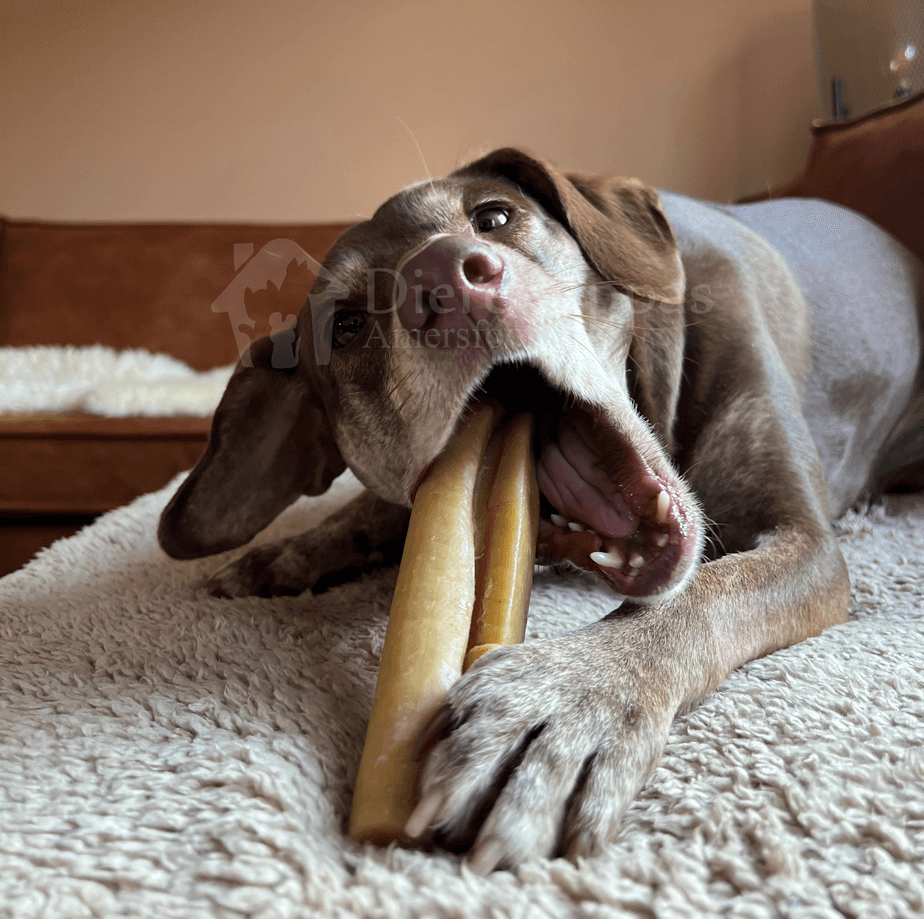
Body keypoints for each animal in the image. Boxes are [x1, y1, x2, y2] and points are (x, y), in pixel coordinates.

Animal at [159, 147, 924, 872]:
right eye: (345, 326)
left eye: (493, 216)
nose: (440, 275)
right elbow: (377, 513)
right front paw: (290, 553)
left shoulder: (804, 539)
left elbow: (699, 594)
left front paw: (570, 699)